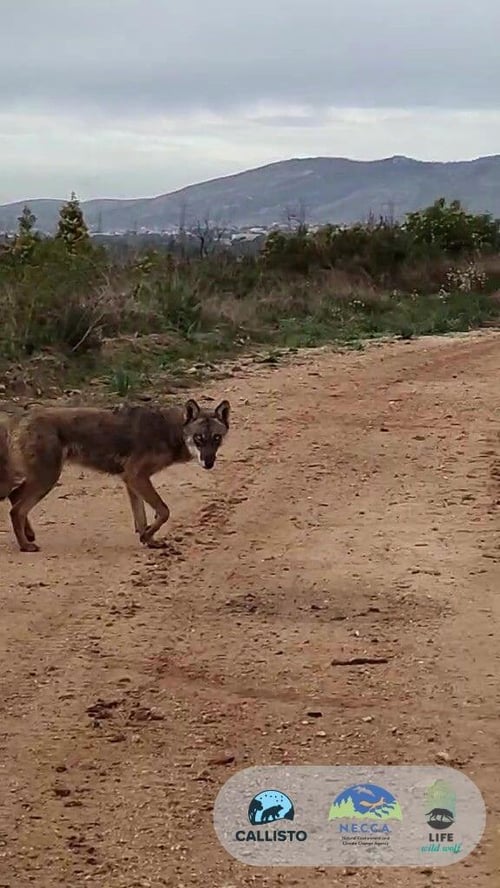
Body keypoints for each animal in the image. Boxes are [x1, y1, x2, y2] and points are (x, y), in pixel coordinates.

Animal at [3, 397, 230, 552]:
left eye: (216, 438)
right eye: (198, 438)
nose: (209, 463)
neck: (169, 430)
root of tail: (20, 418)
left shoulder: (130, 480)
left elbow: (142, 518)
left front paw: (148, 539)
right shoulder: (136, 476)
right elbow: (164, 511)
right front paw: (148, 536)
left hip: (42, 479)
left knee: (15, 497)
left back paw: (29, 535)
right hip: (48, 479)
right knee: (15, 510)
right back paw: (25, 545)